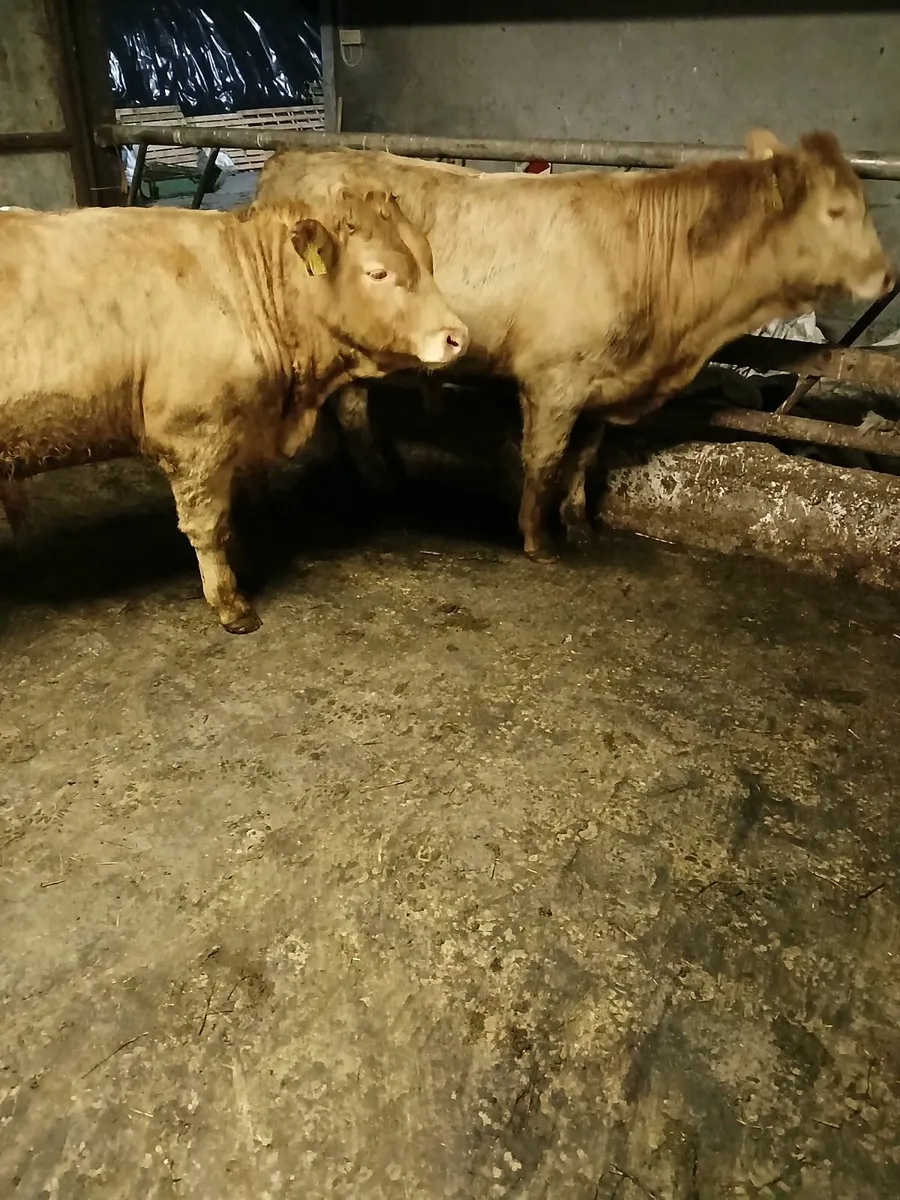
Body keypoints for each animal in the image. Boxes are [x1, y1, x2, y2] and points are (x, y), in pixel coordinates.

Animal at [0, 189, 468, 633]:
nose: (457, 337)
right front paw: (230, 604)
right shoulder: (194, 437)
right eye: (378, 272)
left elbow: (231, 509)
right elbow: (208, 525)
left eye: (427, 259)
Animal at [249, 129, 895, 563]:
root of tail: (294, 154)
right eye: (837, 209)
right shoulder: (553, 380)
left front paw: (580, 526)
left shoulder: (602, 386)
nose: (888, 277)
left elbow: (583, 457)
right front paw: (538, 541)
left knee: (352, 403)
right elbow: (544, 460)